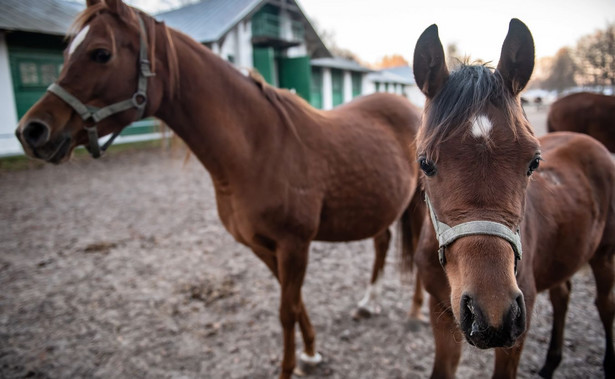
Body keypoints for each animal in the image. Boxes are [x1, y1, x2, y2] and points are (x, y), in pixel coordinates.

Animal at [16, 1, 426, 378]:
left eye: (101, 53)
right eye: (66, 53)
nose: (32, 131)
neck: (258, 148)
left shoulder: (294, 245)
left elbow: (286, 311)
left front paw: (291, 366)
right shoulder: (263, 247)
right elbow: (295, 304)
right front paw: (311, 353)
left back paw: (415, 313)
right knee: (382, 243)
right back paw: (368, 302)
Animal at [410, 18, 615, 379]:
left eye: (533, 162)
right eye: (425, 163)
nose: (492, 312)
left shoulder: (518, 327)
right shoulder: (441, 314)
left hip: (604, 256)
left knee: (605, 306)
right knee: (562, 295)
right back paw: (550, 363)